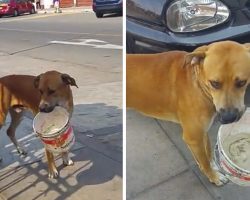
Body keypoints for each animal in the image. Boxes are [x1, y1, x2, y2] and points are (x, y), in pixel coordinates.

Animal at [127, 41, 250, 186]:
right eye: (215, 83)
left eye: (242, 82)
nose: (229, 118)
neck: (198, 83)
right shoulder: (193, 138)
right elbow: (204, 162)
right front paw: (213, 177)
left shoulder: (203, 131)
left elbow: (208, 152)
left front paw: (213, 167)